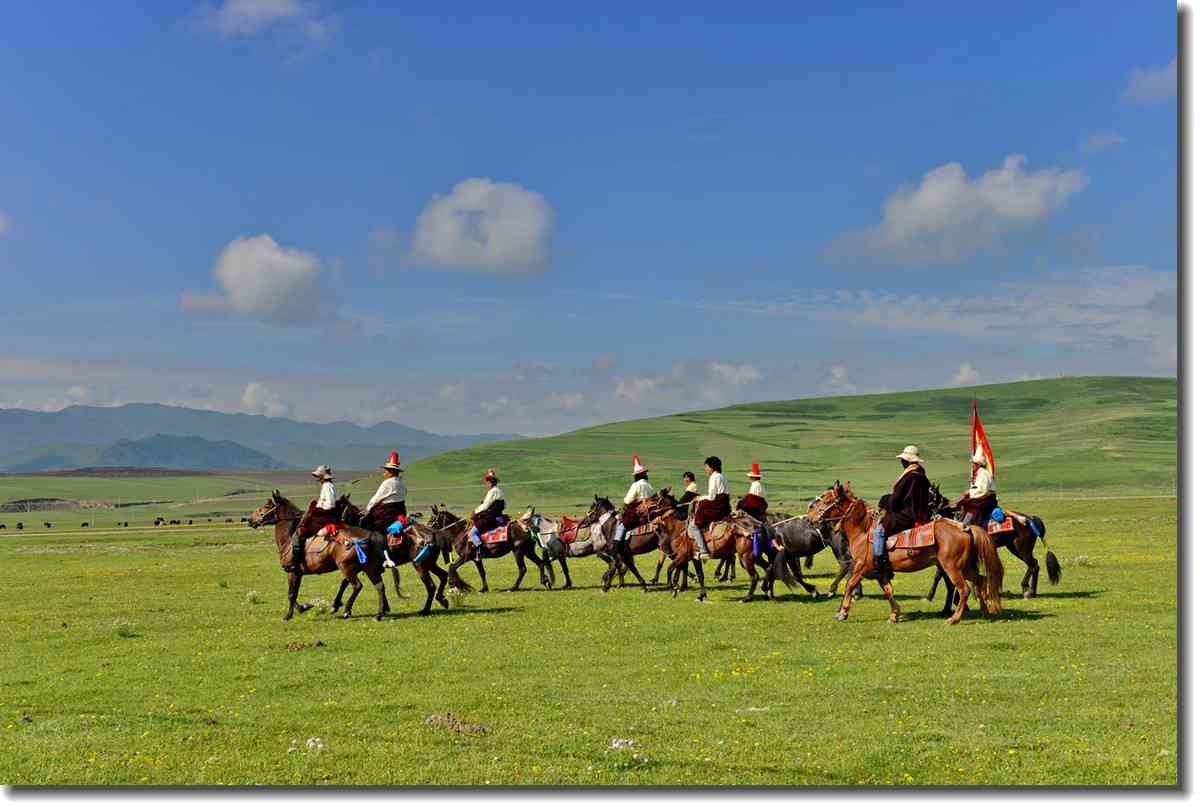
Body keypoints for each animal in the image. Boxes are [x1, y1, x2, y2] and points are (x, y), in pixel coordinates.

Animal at [247, 487, 388, 619]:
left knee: (357, 586)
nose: (250, 520)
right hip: (367, 566)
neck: (288, 539)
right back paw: (379, 613)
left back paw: (347, 611)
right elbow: (294, 594)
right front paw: (303, 607)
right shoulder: (298, 574)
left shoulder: (292, 572)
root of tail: (369, 535)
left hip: (346, 567)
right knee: (379, 585)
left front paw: (289, 615)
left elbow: (291, 594)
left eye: (267, 506)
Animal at [806, 480, 1003, 624]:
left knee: (964, 589)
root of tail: (964, 527)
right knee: (980, 580)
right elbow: (888, 591)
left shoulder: (862, 566)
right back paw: (985, 612)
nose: (809, 519)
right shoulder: (880, 571)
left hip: (952, 567)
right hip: (964, 566)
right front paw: (894, 615)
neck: (862, 529)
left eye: (825, 500)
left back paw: (953, 619)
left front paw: (843, 613)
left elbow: (850, 585)